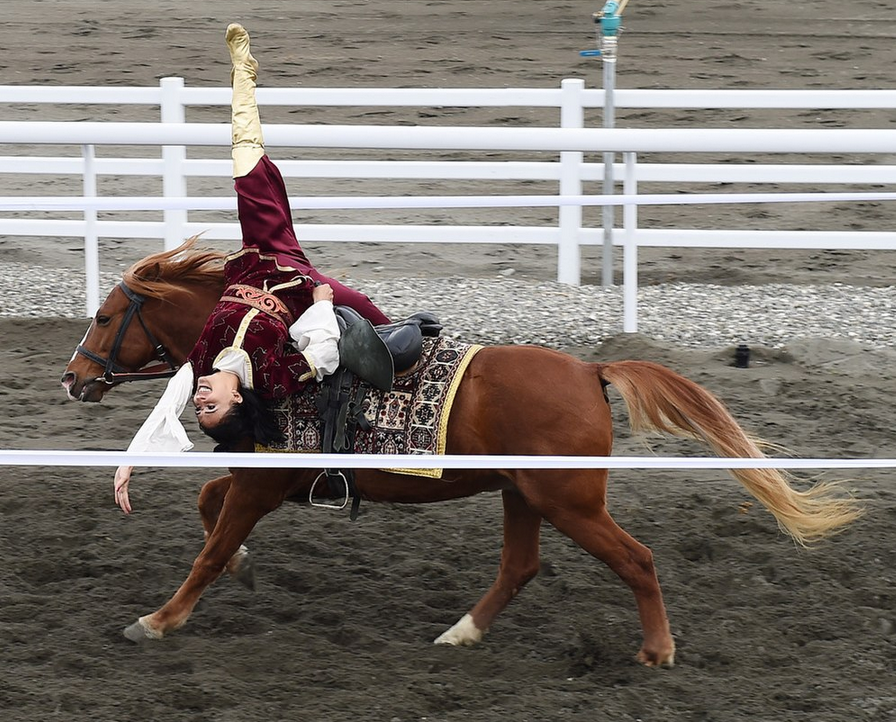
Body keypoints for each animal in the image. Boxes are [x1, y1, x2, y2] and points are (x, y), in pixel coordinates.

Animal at [61, 238, 861, 667]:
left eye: (103, 316)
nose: (72, 378)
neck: (264, 356)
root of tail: (590, 371)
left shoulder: (264, 484)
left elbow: (209, 545)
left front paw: (160, 619)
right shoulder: (263, 480)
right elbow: (210, 510)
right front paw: (241, 568)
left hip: (568, 501)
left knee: (636, 559)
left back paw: (657, 650)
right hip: (522, 495)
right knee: (520, 567)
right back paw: (462, 631)